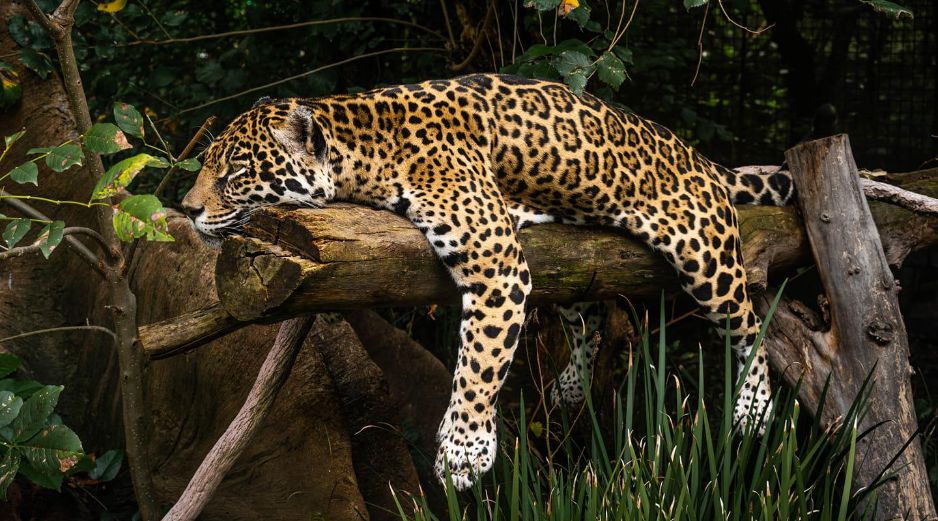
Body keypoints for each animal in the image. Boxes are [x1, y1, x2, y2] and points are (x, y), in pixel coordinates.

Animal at [180, 73, 794, 490]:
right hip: (573, 259)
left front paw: (463, 451)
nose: (186, 209)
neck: (367, 145)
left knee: (746, 319)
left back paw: (754, 405)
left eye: (235, 171)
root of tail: (702, 160)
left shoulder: (494, 258)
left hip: (702, 249)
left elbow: (481, 359)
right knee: (588, 312)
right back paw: (571, 384)